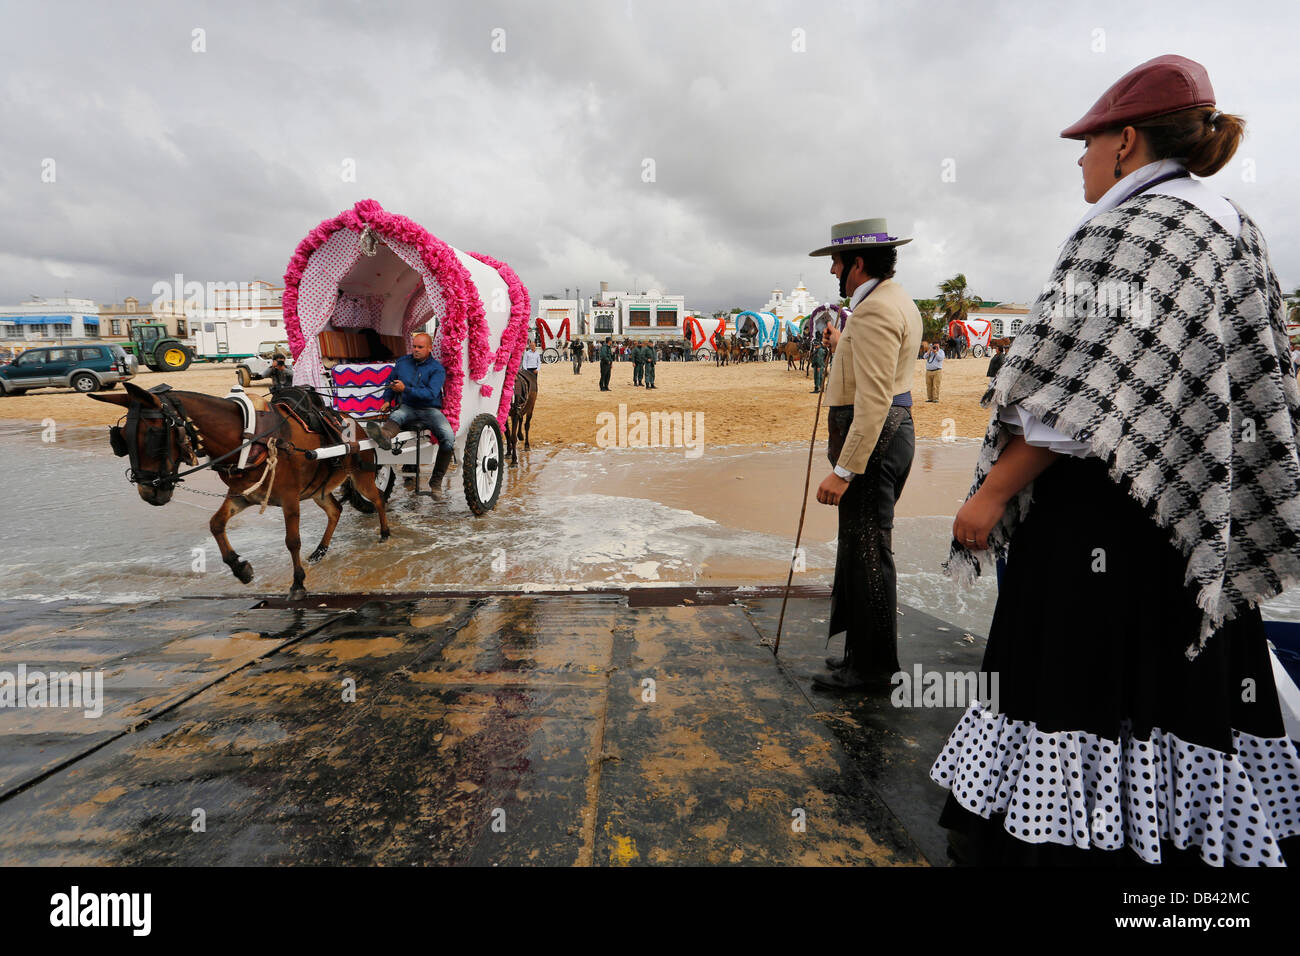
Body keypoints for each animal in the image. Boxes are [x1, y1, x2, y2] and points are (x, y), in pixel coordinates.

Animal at [94, 382, 387, 598]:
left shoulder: (290, 499)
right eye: (121, 440)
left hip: (361, 475)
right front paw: (240, 567)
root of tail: (354, 422)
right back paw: (320, 550)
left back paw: (384, 532)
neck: (248, 438)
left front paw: (298, 583)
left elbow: (292, 541)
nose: (148, 492)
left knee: (377, 499)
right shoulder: (242, 495)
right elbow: (215, 524)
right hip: (319, 488)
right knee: (335, 510)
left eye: (154, 436)